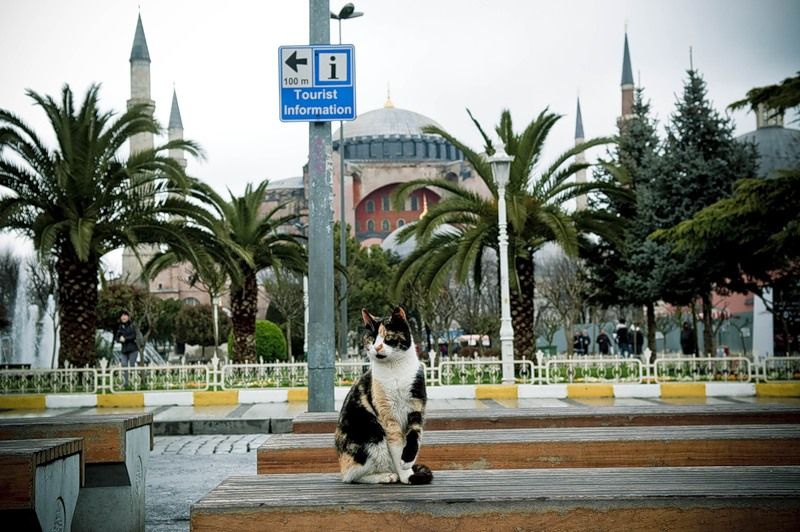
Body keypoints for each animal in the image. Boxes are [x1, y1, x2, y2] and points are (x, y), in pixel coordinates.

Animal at [334, 306, 434, 484]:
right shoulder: (388, 418)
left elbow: (414, 436)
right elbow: (396, 447)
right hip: (372, 435)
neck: (395, 370)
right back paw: (387, 476)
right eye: (372, 338)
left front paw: (407, 462)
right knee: (353, 476)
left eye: (388, 338)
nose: (377, 347)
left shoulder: (416, 407)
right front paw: (407, 476)